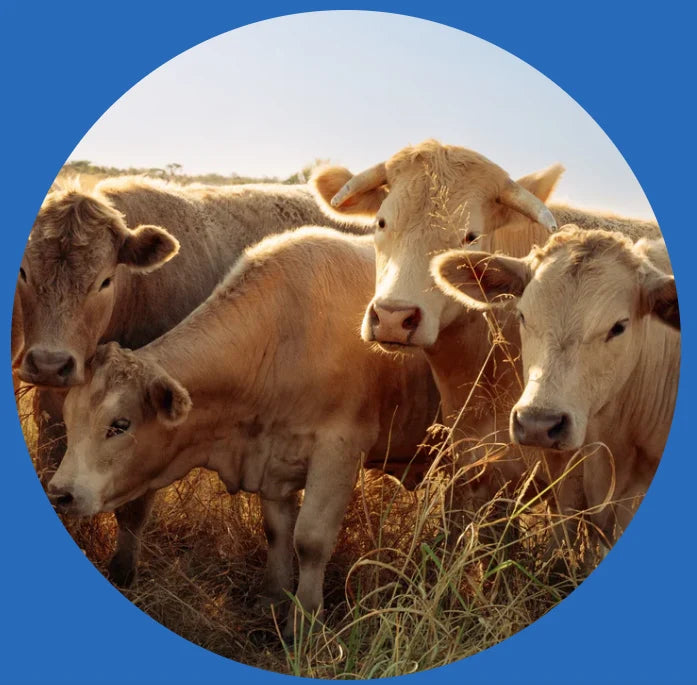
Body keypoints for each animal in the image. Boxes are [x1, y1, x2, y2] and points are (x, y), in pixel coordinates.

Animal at [46, 226, 439, 638]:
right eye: (70, 420)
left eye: (120, 425)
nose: (60, 493)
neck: (284, 335)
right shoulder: (274, 457)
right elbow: (277, 531)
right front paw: (274, 600)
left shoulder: (338, 451)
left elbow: (311, 540)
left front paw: (303, 622)